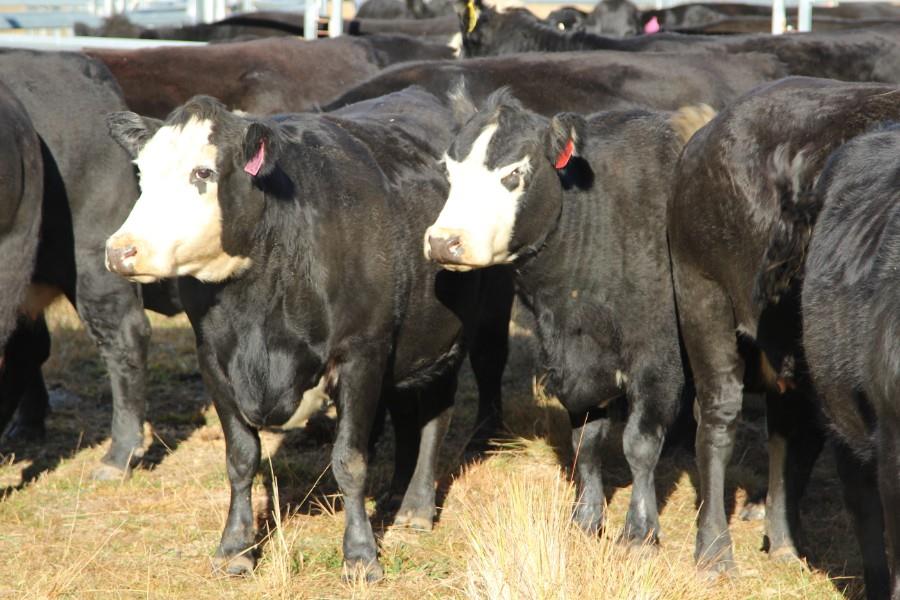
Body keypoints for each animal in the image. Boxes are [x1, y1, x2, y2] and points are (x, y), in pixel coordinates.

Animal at [104, 88, 512, 580]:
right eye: (141, 173)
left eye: (203, 172)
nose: (122, 251)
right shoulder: (213, 359)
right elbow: (240, 458)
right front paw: (235, 547)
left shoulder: (361, 351)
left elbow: (350, 460)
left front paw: (361, 555)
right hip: (405, 343)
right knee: (405, 412)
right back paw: (395, 496)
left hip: (455, 332)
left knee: (437, 413)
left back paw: (416, 507)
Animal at [423, 88, 712, 543]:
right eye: (450, 172)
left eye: (514, 174)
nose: (444, 241)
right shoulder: (571, 361)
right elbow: (586, 443)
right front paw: (587, 518)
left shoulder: (656, 356)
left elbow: (639, 443)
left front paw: (640, 529)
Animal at [668, 77, 900, 593]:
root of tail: (709, 134)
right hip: (703, 296)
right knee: (717, 418)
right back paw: (715, 553)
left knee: (790, 434)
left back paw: (785, 542)